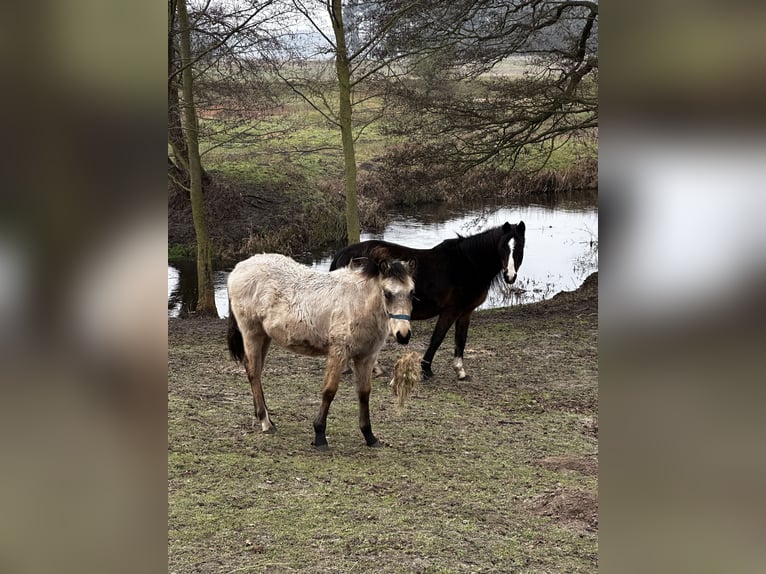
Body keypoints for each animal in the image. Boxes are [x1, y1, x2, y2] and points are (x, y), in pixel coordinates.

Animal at [228, 254, 416, 452]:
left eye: (411, 292)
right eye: (387, 293)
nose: (403, 335)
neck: (359, 303)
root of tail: (238, 269)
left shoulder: (366, 357)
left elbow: (364, 393)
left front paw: (369, 436)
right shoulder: (338, 352)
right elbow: (329, 391)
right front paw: (319, 436)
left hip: (265, 336)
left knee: (256, 371)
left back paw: (266, 418)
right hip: (252, 333)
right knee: (253, 372)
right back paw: (265, 421)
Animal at [332, 223, 528, 380]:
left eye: (519, 247)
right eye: (503, 247)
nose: (510, 276)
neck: (468, 264)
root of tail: (344, 254)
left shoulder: (466, 312)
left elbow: (461, 339)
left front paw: (460, 370)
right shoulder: (450, 311)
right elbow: (437, 338)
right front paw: (426, 369)